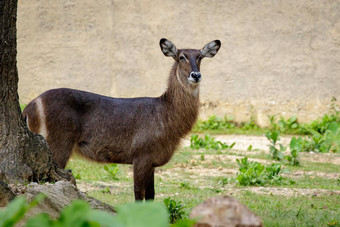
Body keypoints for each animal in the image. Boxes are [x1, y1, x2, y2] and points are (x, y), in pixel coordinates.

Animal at [22, 39, 222, 200]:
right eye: (181, 56)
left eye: (200, 57)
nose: (196, 75)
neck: (165, 115)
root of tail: (29, 107)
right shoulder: (141, 156)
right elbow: (138, 194)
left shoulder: (152, 162)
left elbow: (151, 195)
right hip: (58, 145)